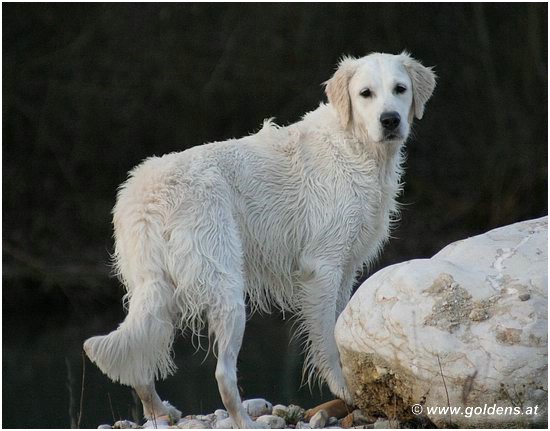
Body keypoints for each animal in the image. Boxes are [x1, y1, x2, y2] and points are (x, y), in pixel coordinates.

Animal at [84, 52, 436, 428]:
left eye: (400, 89)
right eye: (365, 93)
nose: (390, 120)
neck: (354, 144)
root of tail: (147, 197)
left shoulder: (345, 270)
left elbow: (341, 327)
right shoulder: (323, 268)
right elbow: (327, 338)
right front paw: (344, 389)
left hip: (157, 289)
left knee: (140, 363)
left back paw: (161, 412)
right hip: (226, 290)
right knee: (223, 375)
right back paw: (245, 420)